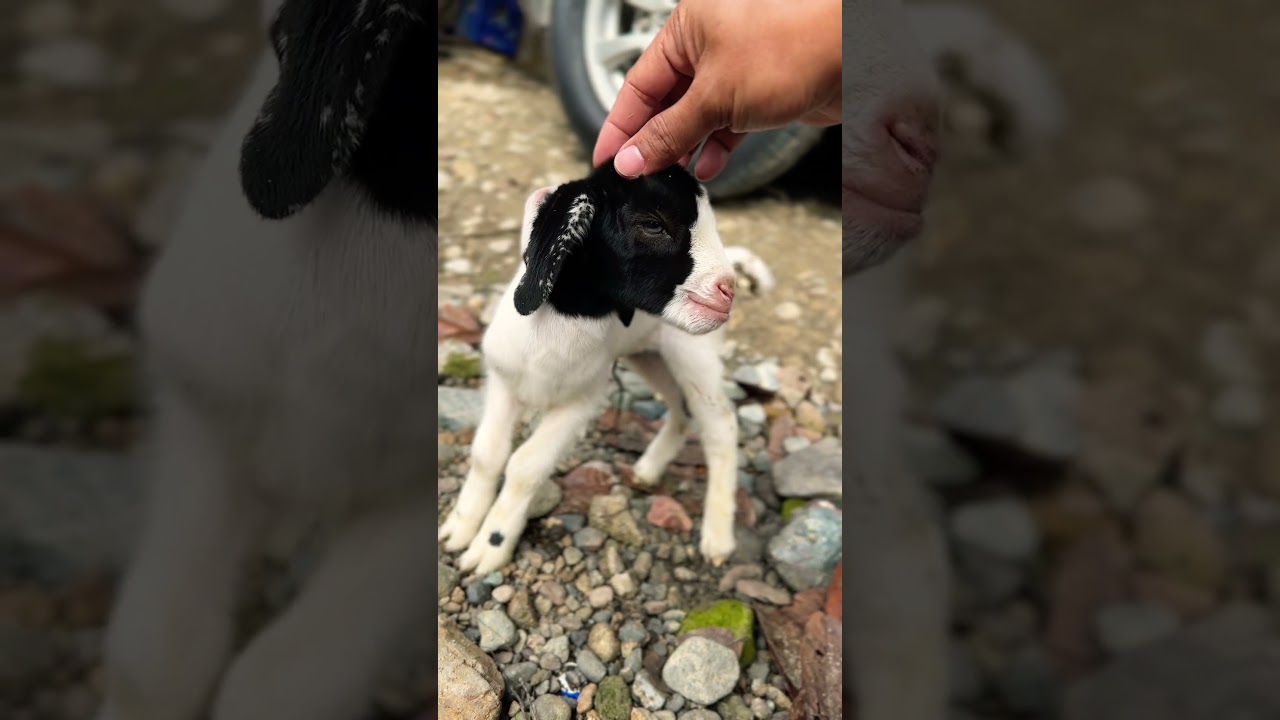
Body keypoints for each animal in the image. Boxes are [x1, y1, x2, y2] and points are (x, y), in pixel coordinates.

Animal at [439, 161, 770, 575]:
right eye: (653, 224)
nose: (728, 291)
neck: (559, 326)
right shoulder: (502, 382)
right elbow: (487, 454)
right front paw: (460, 527)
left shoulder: (580, 403)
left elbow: (525, 466)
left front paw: (491, 545)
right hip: (648, 355)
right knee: (681, 408)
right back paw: (648, 470)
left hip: (694, 354)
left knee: (721, 425)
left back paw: (718, 539)